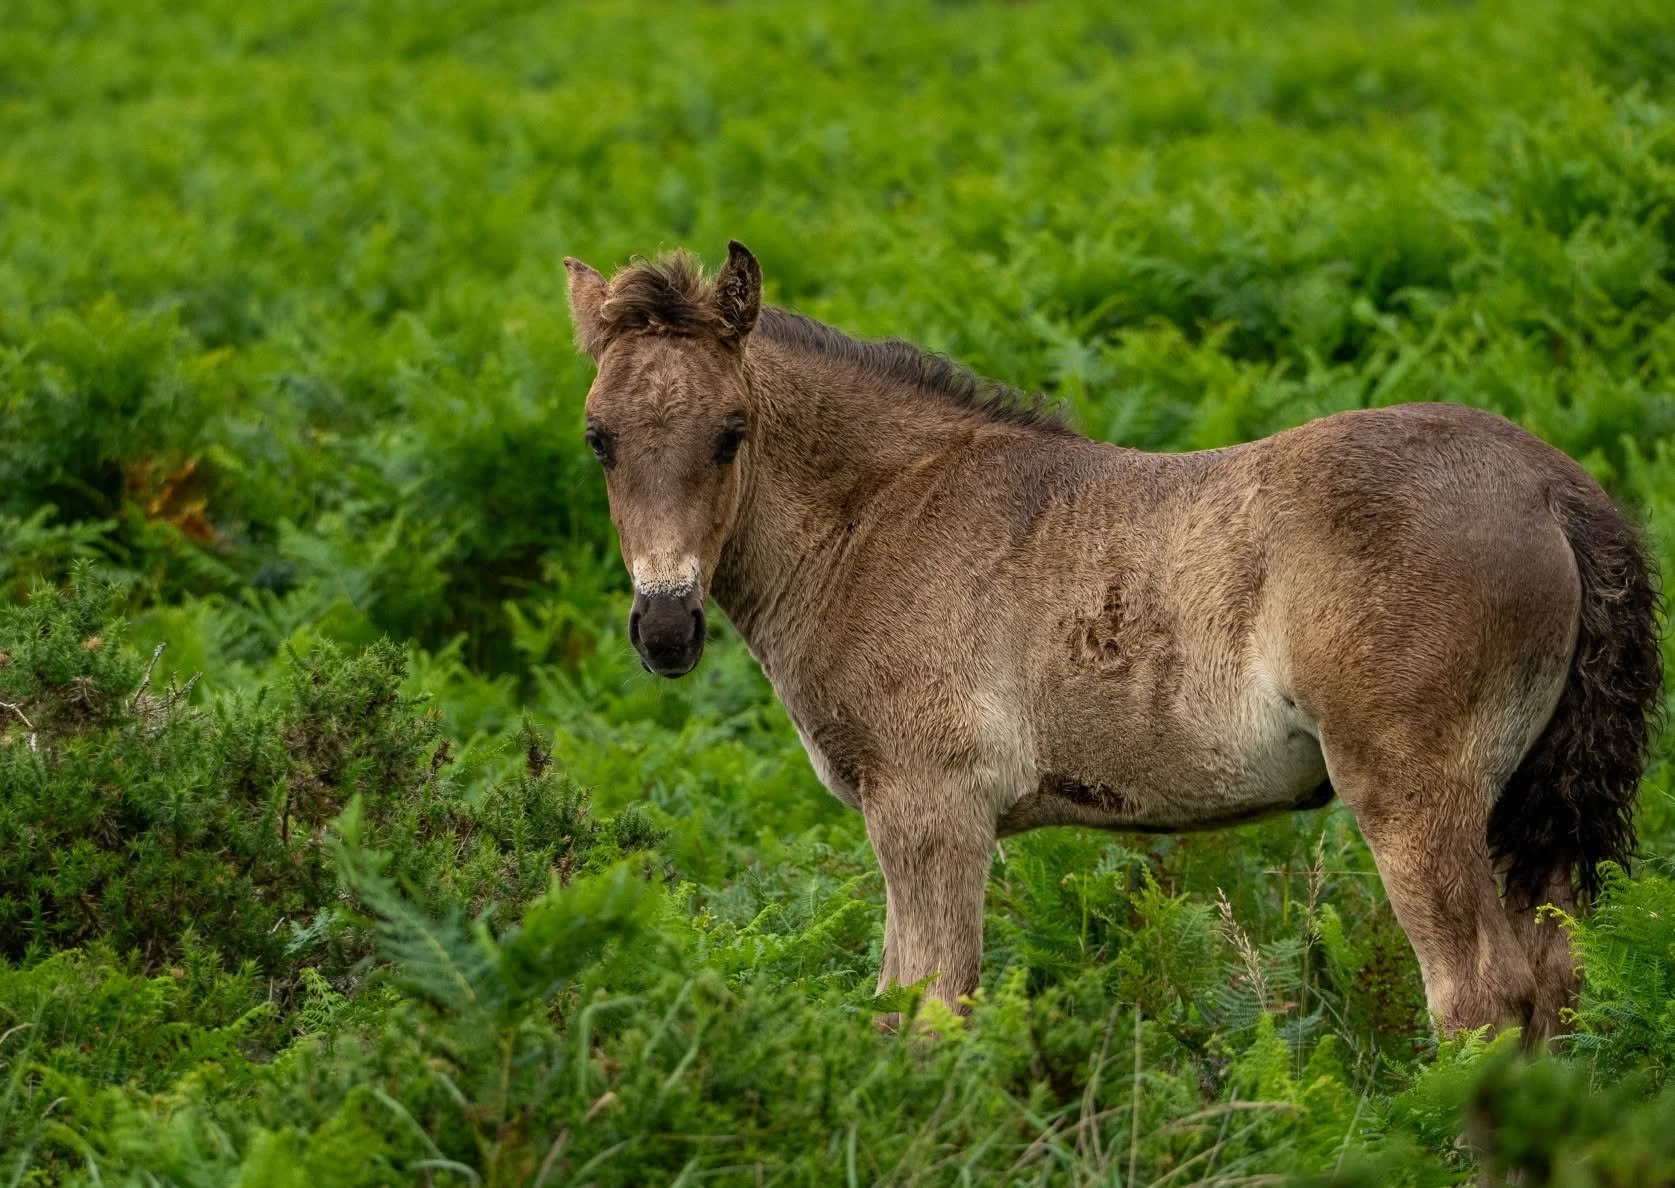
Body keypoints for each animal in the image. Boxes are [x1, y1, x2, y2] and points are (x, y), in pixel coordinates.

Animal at [564, 240, 1661, 1040]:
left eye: (731, 431)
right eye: (597, 438)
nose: (665, 626)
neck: (878, 517)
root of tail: (1553, 488)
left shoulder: (930, 808)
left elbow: (929, 1011)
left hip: (1414, 788)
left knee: (1480, 996)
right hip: (1532, 801)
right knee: (1555, 979)